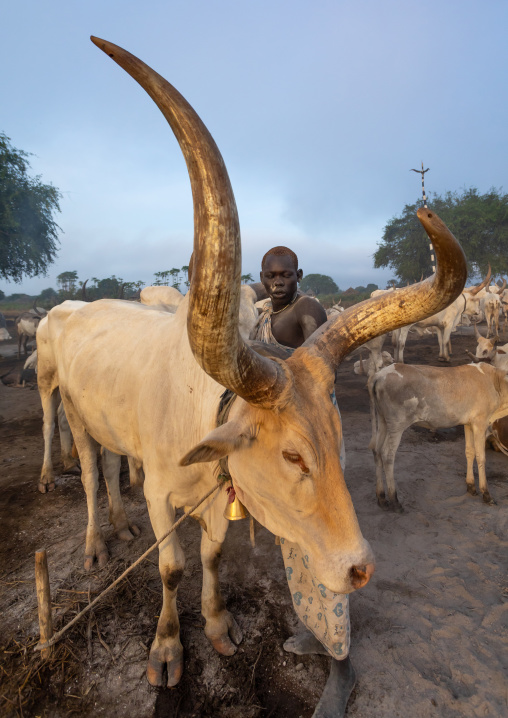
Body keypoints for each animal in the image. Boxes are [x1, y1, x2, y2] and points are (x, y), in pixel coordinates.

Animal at [41, 36, 467, 689]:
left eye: (339, 434)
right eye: (292, 455)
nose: (360, 569)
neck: (197, 407)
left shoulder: (218, 496)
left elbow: (212, 556)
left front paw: (218, 626)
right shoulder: (161, 493)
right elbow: (171, 568)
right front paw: (167, 648)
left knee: (113, 471)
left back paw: (119, 523)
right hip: (74, 416)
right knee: (90, 474)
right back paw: (96, 542)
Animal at [369, 362, 508, 511]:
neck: (495, 382)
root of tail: (379, 374)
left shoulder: (469, 423)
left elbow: (469, 452)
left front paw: (471, 486)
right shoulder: (480, 422)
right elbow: (481, 457)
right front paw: (487, 494)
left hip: (383, 420)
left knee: (377, 450)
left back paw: (381, 497)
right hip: (397, 424)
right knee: (387, 455)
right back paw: (395, 501)